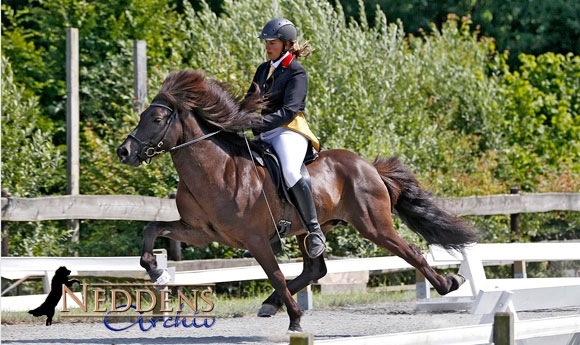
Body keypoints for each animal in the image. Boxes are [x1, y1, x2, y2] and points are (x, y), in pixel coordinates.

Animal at [115, 69, 478, 330]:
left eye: (156, 120)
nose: (124, 152)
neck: (215, 170)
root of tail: (369, 167)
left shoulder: (255, 239)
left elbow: (274, 273)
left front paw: (295, 320)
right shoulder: (200, 232)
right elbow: (152, 228)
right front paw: (154, 270)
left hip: (373, 225)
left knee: (410, 252)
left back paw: (449, 283)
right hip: (311, 229)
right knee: (316, 267)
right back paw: (270, 304)